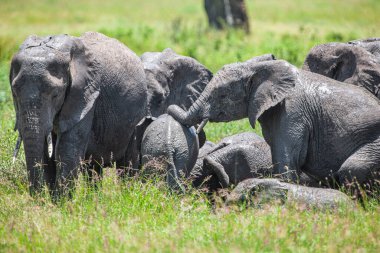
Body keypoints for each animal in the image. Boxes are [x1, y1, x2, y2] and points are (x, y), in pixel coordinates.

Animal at [10, 32, 147, 196]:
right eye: (15, 92)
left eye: (55, 94)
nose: (36, 198)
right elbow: (47, 155)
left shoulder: (85, 96)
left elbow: (66, 151)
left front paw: (61, 202)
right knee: (93, 167)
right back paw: (94, 197)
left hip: (137, 116)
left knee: (127, 164)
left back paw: (127, 195)